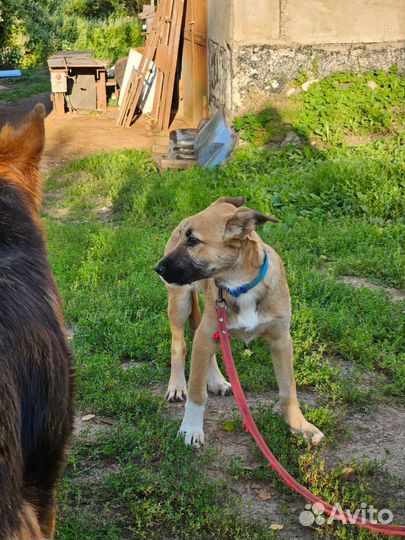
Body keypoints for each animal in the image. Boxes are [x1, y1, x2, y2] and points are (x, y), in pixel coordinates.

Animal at [156, 198, 324, 448]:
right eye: (185, 238)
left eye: (193, 240)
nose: (157, 268)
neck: (240, 284)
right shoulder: (208, 331)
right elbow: (196, 392)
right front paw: (190, 429)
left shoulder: (282, 340)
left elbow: (289, 389)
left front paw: (299, 426)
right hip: (180, 302)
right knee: (179, 345)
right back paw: (177, 385)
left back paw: (216, 380)